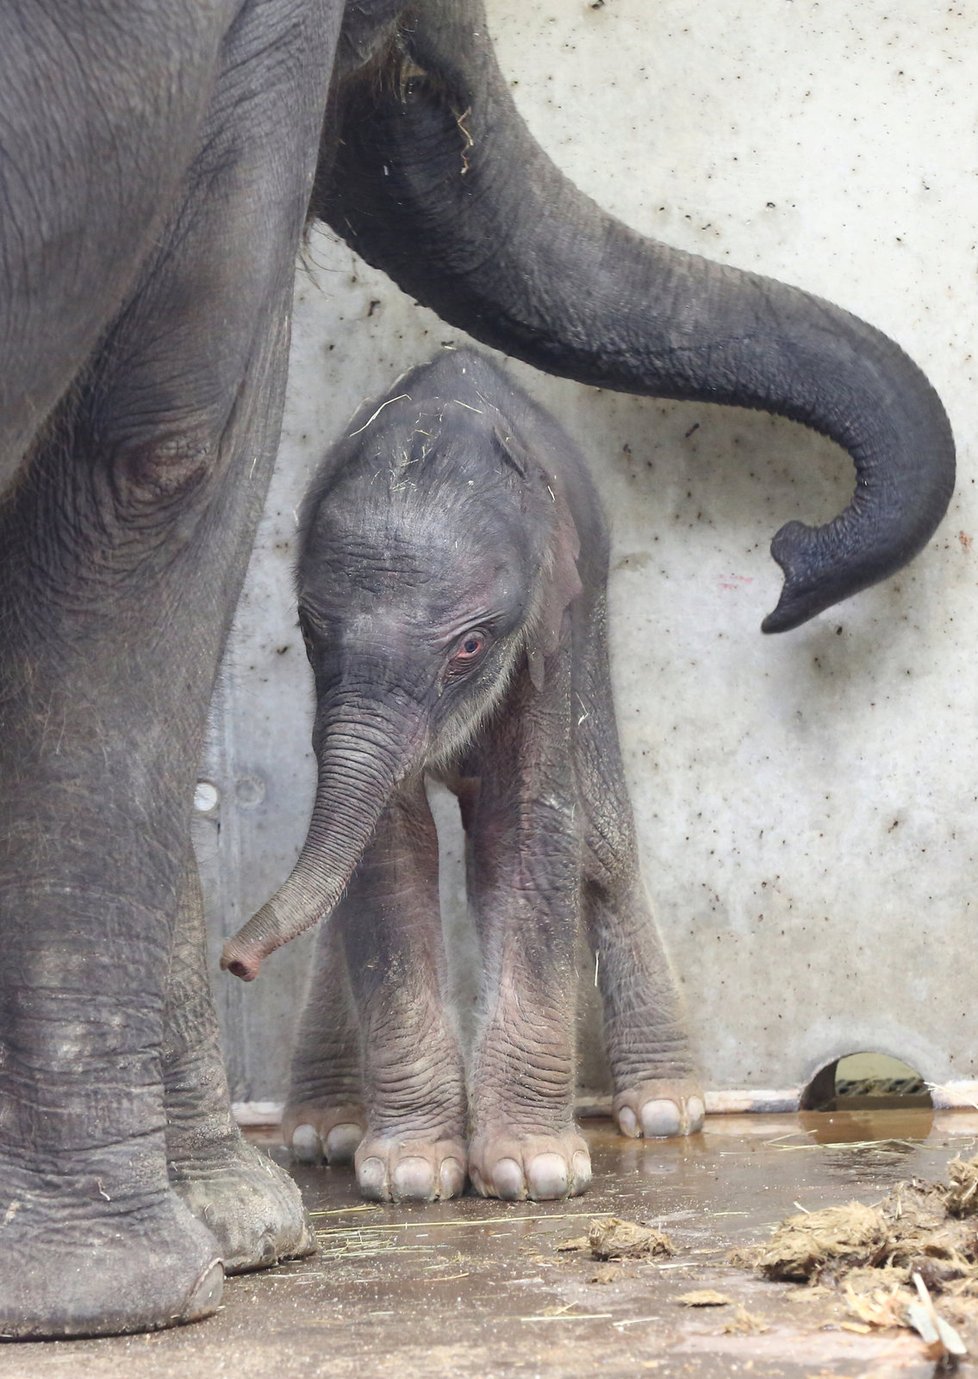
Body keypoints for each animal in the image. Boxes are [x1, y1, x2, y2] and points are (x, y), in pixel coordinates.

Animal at [223, 350, 700, 1202]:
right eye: (309, 628)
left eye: (471, 646)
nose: (235, 961)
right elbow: (387, 848)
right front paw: (411, 1172)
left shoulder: (554, 627)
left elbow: (530, 825)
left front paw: (535, 1170)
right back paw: (324, 1129)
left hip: (595, 619)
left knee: (604, 837)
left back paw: (667, 1109)